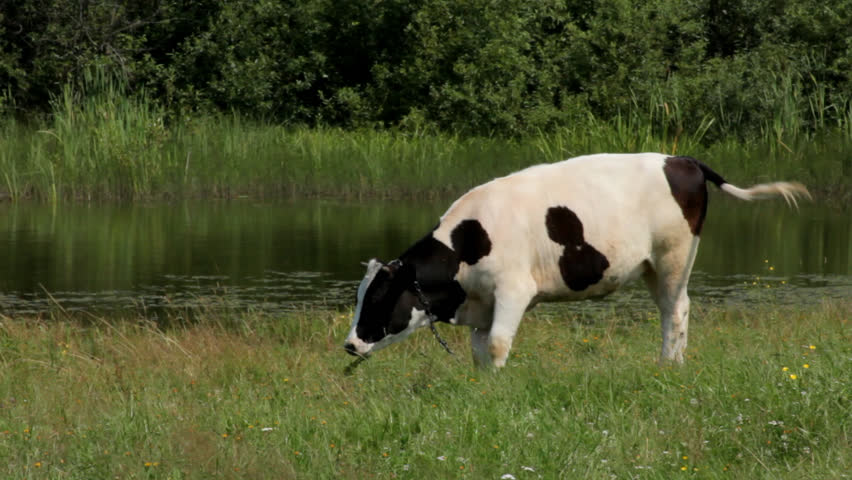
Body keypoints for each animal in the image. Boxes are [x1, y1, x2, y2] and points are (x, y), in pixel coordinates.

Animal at [343, 153, 810, 368]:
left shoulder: (514, 289)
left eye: (379, 297)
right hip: (653, 266)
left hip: (675, 255)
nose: (349, 344)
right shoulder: (483, 303)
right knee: (677, 308)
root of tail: (681, 159)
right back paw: (674, 363)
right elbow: (479, 350)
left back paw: (667, 365)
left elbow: (497, 344)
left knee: (675, 311)